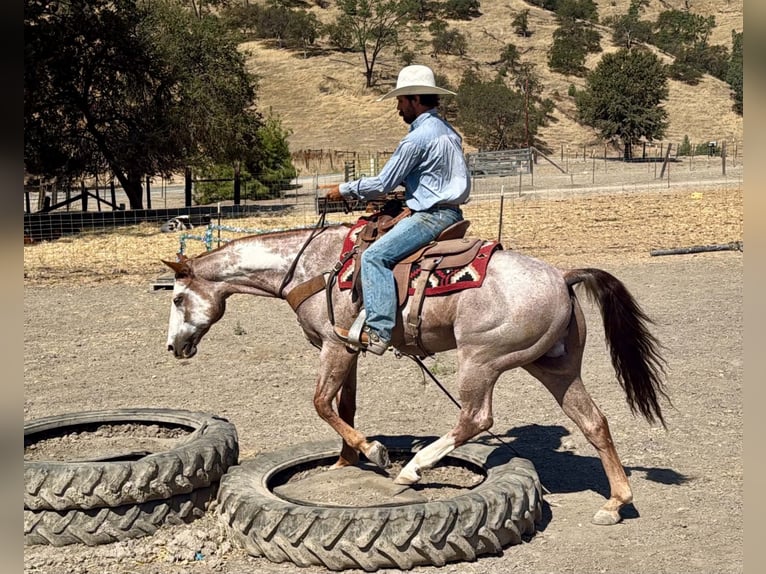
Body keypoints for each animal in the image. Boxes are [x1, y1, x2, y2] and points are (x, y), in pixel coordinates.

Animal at [163, 221, 669, 526]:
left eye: (177, 297)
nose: (174, 347)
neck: (310, 266)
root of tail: (563, 278)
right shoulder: (349, 349)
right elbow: (345, 404)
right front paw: (344, 461)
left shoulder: (333, 345)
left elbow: (322, 402)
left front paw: (375, 451)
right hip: (553, 366)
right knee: (594, 422)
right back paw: (615, 502)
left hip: (482, 360)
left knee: (475, 418)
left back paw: (413, 468)